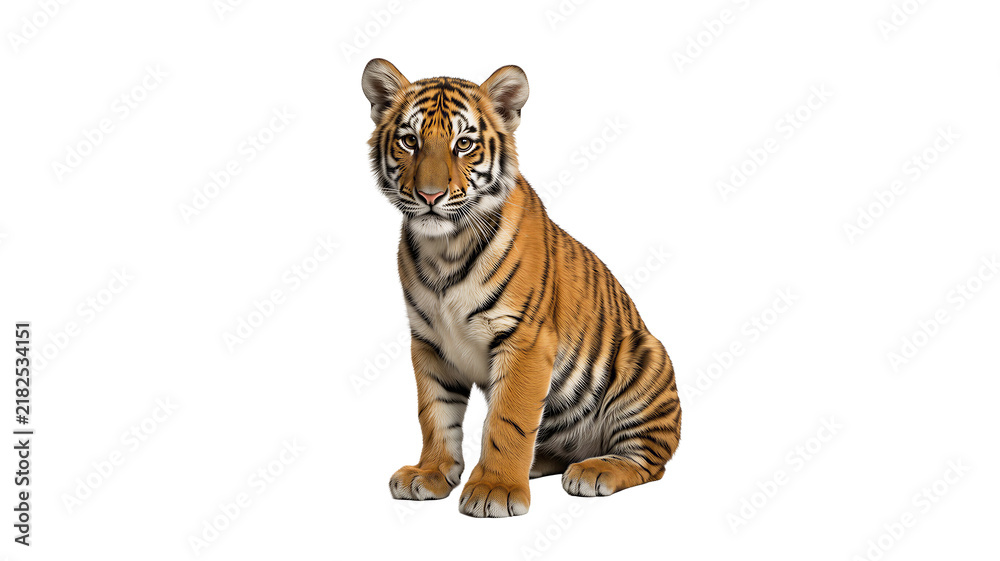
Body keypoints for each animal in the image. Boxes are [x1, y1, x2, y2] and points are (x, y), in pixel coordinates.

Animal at [362, 58, 681, 518]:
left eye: (463, 144)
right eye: (409, 141)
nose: (430, 195)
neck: (445, 248)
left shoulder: (525, 339)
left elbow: (508, 419)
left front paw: (495, 489)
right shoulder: (428, 342)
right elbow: (435, 413)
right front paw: (431, 473)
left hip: (643, 355)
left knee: (649, 461)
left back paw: (594, 470)